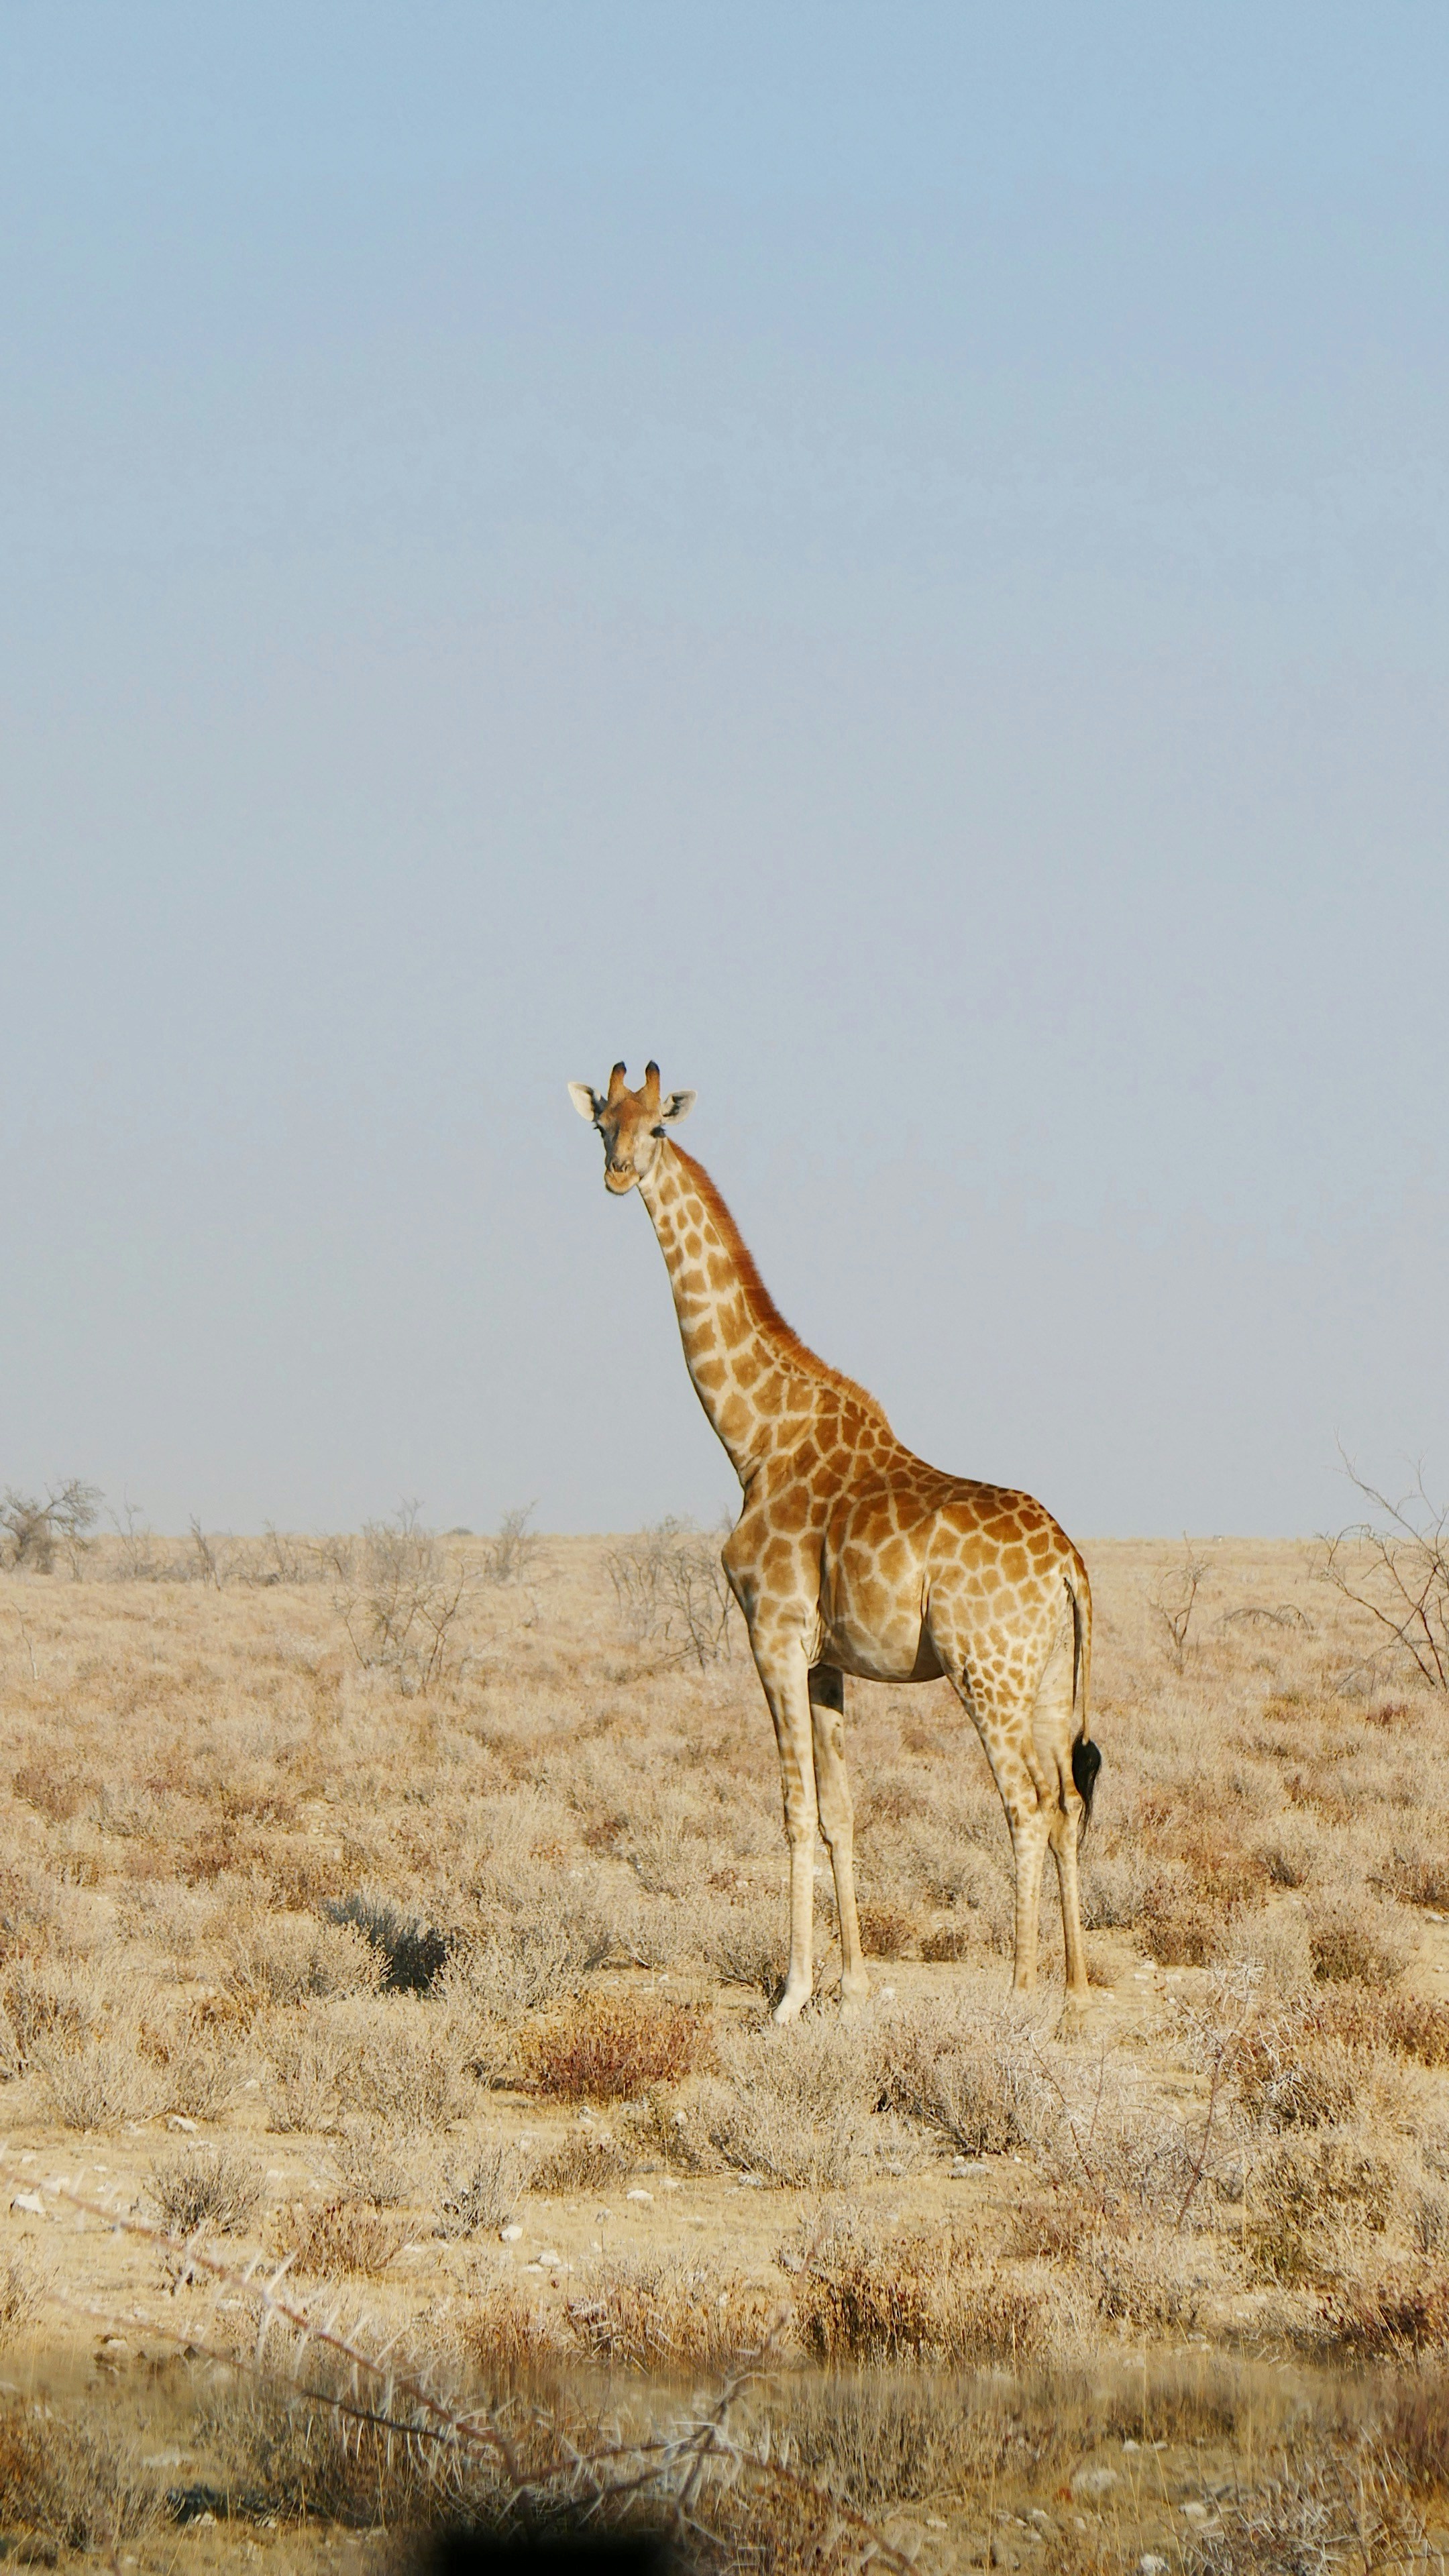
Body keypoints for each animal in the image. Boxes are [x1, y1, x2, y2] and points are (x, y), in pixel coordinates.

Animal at [568, 1061, 1101, 2021]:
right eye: (601, 1124)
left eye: (657, 1126)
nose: (618, 1174)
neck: (752, 1437)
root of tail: (1071, 1566)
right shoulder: (825, 1661)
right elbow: (842, 1809)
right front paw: (851, 1984)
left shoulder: (772, 1637)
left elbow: (792, 1808)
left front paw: (790, 1995)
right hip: (1047, 1678)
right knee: (1069, 1799)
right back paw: (1074, 1995)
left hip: (986, 1672)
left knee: (1027, 1805)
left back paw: (1017, 1991)